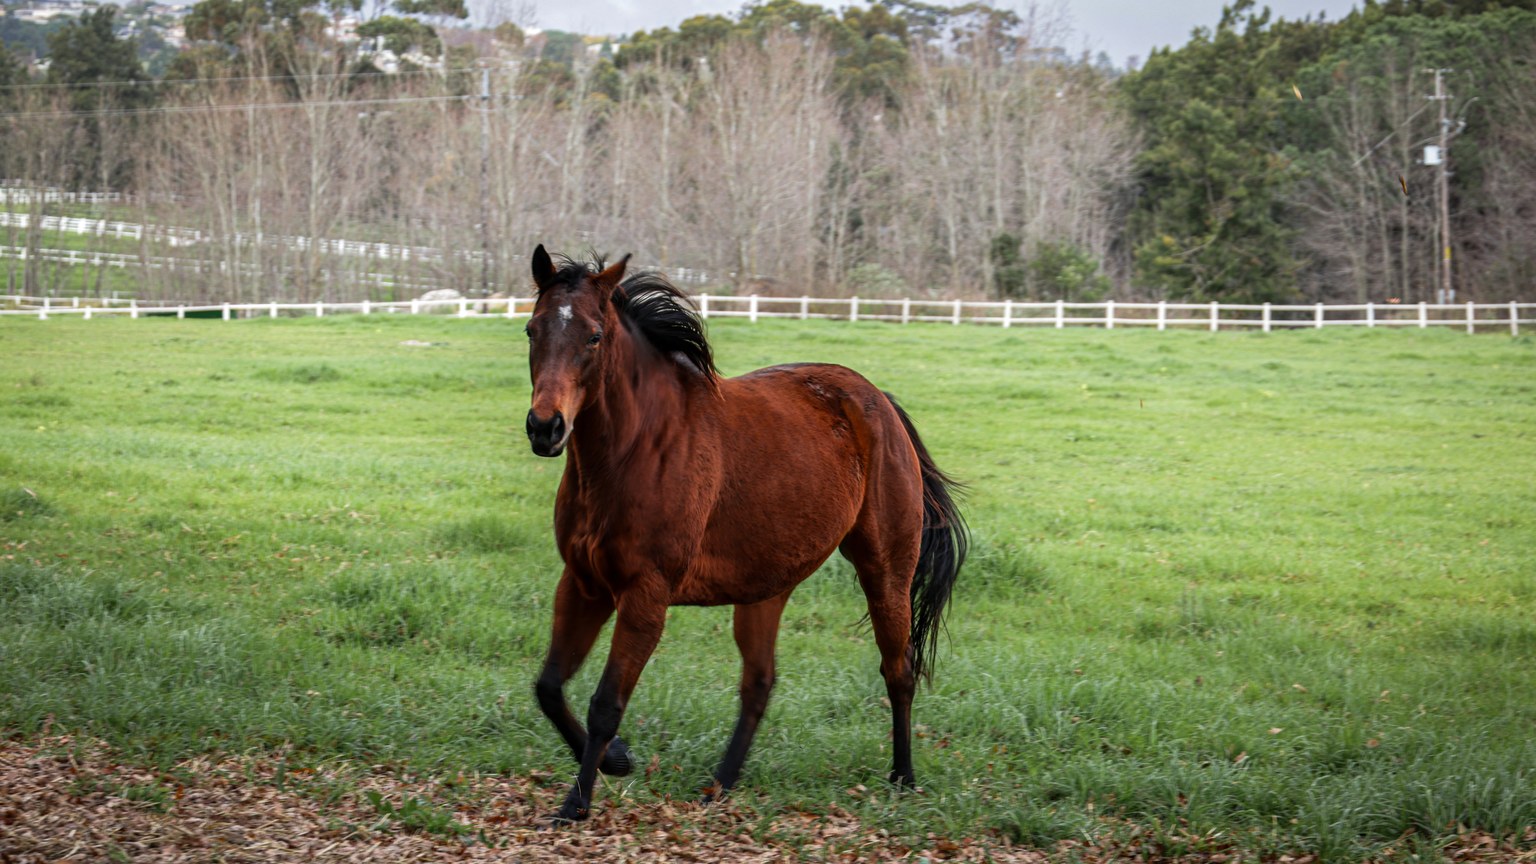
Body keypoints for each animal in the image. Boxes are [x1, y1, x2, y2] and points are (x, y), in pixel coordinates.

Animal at [522, 245, 968, 824]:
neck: (637, 450)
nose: (545, 428)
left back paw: (903, 778)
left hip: (885, 571)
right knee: (759, 683)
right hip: (765, 590)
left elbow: (605, 703)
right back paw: (721, 785)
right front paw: (617, 760)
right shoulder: (583, 584)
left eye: (594, 337)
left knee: (899, 670)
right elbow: (549, 687)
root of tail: (879, 404)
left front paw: (577, 801)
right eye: (531, 330)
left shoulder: (645, 597)